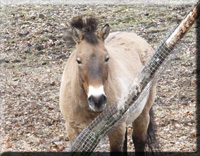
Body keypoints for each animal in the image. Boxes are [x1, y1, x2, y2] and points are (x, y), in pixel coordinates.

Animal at [59, 16, 158, 154]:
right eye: (78, 60)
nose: (97, 100)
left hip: (142, 114)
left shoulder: (116, 130)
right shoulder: (74, 132)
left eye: (106, 58)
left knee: (139, 141)